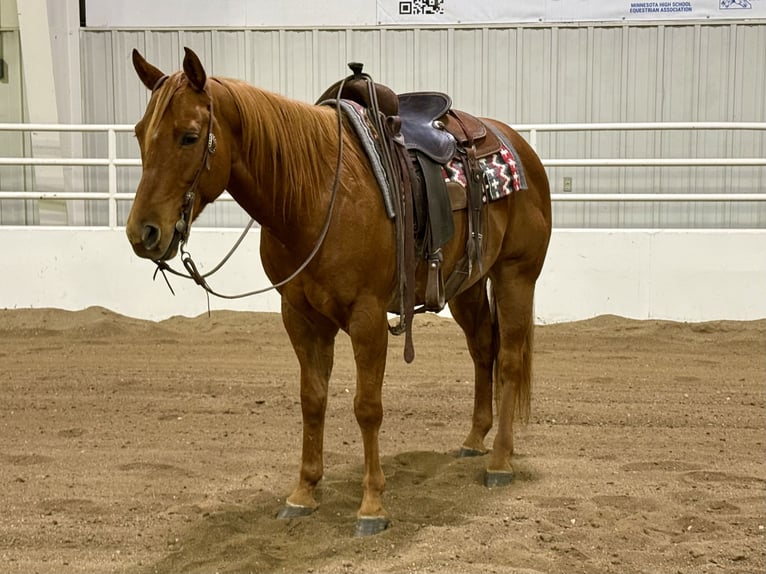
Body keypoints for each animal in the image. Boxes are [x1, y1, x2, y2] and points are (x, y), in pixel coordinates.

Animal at [126, 47, 552, 536]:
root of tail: (518, 147)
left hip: (516, 276)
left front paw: (372, 506)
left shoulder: (366, 317)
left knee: (510, 360)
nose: (142, 233)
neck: (313, 197)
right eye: (139, 134)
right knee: (484, 349)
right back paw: (474, 438)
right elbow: (313, 400)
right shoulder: (300, 316)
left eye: (190, 137)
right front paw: (303, 492)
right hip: (469, 284)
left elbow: (367, 407)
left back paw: (499, 461)